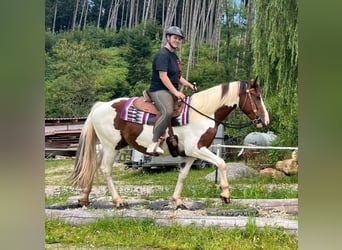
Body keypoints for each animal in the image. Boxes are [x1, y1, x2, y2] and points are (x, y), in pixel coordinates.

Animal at [71, 78, 270, 209]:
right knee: (105, 169)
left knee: (93, 165)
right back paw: (118, 200)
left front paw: (177, 200)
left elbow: (182, 175)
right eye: (257, 97)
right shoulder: (196, 149)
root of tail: (100, 106)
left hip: (111, 146)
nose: (265, 120)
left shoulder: (190, 154)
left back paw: (84, 198)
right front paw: (225, 195)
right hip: (111, 146)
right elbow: (221, 163)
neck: (202, 113)